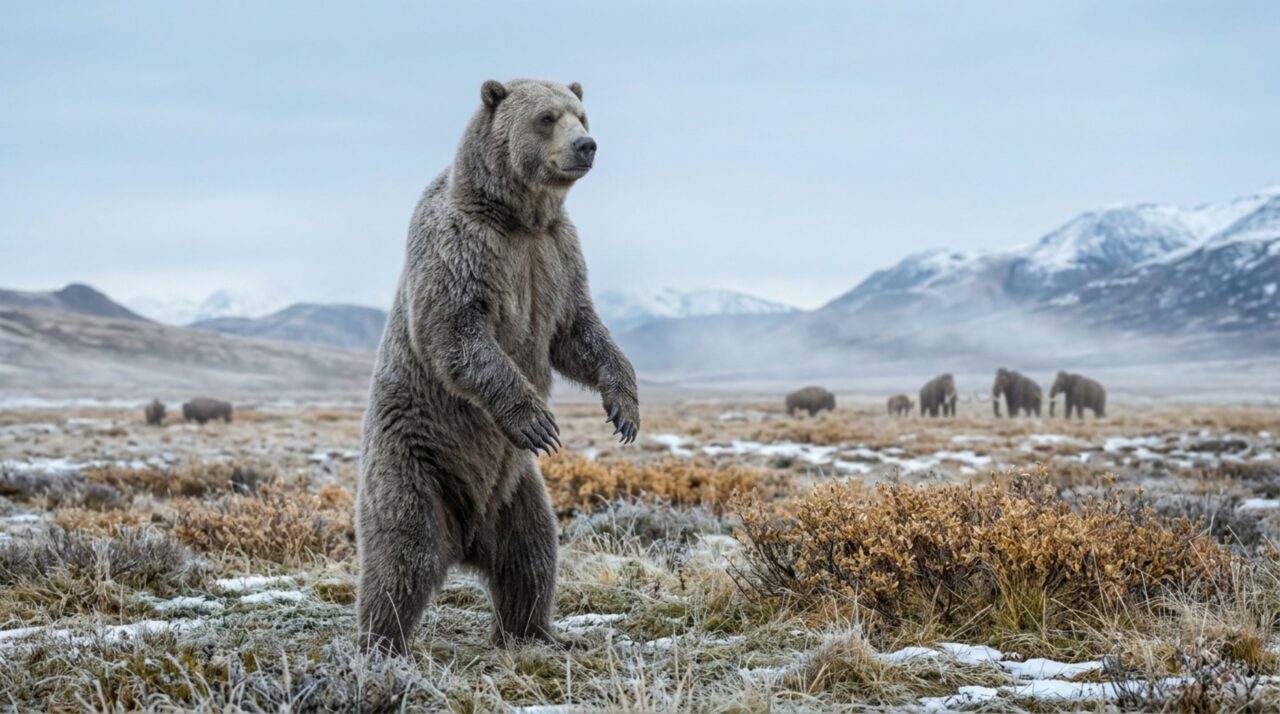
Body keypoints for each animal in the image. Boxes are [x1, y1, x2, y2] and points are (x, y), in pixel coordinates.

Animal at [355, 79, 640, 657]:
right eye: (547, 117)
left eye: (581, 114)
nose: (586, 145)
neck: (518, 218)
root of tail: (465, 539)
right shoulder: (461, 247)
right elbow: (457, 331)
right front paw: (536, 419)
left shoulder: (557, 255)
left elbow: (578, 332)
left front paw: (624, 408)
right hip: (413, 458)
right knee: (403, 555)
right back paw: (381, 645)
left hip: (516, 489)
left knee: (531, 553)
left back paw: (534, 633)